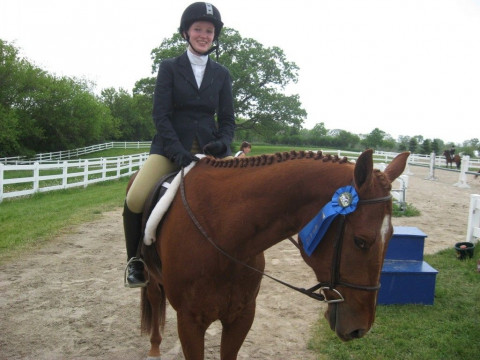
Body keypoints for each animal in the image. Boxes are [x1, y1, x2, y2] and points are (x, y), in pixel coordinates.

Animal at [134, 150, 408, 360]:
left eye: (392, 237)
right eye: (360, 241)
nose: (360, 329)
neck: (223, 237)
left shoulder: (242, 316)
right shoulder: (190, 323)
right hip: (150, 276)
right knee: (154, 298)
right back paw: (154, 348)